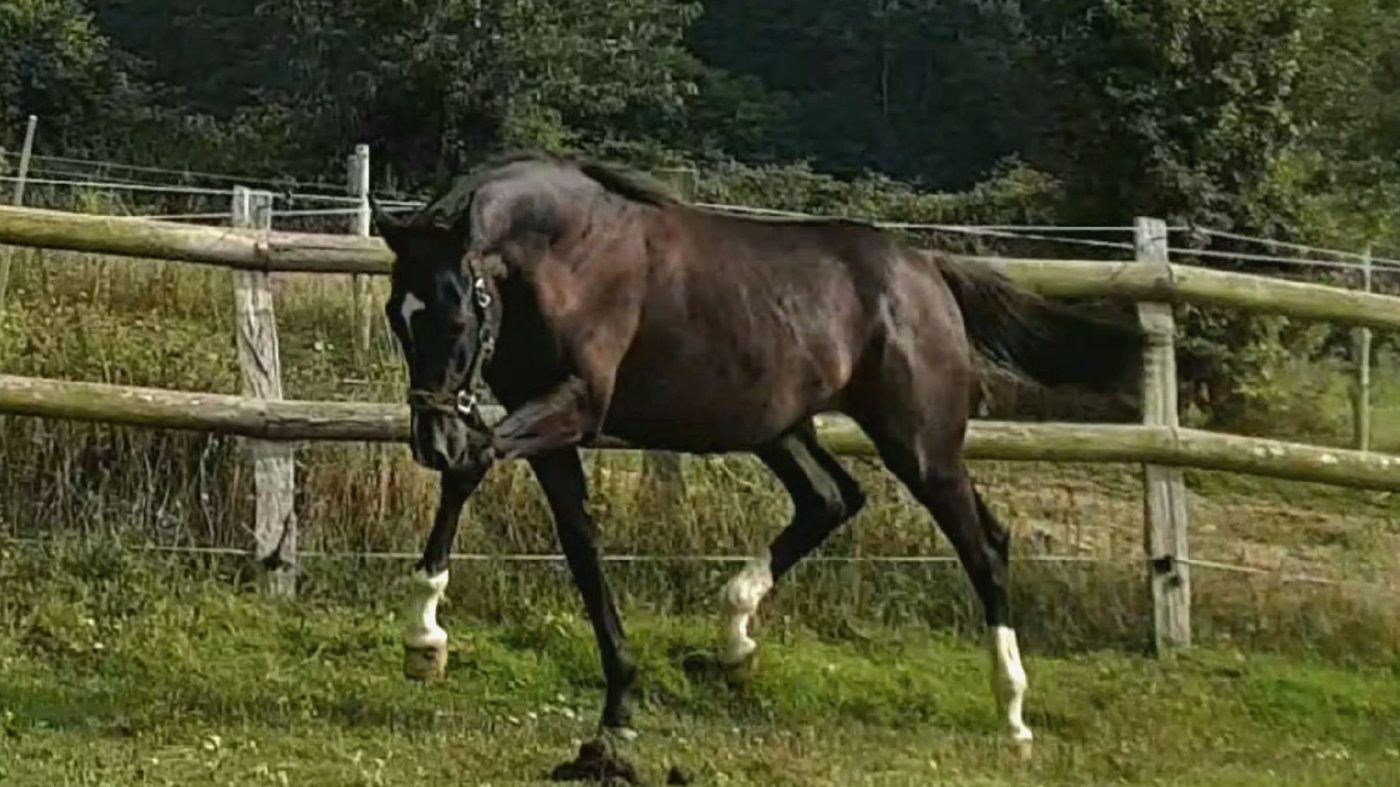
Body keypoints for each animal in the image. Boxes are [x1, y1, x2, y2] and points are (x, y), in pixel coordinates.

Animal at [371, 151, 1142, 777]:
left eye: (456, 317)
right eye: (396, 317)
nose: (428, 438)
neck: (568, 252)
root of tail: (928, 271)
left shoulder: (574, 406)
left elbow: (472, 468)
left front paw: (423, 637)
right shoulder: (555, 431)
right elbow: (581, 552)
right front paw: (616, 713)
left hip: (922, 446)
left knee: (982, 546)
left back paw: (1013, 717)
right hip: (780, 426)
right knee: (835, 498)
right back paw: (736, 635)